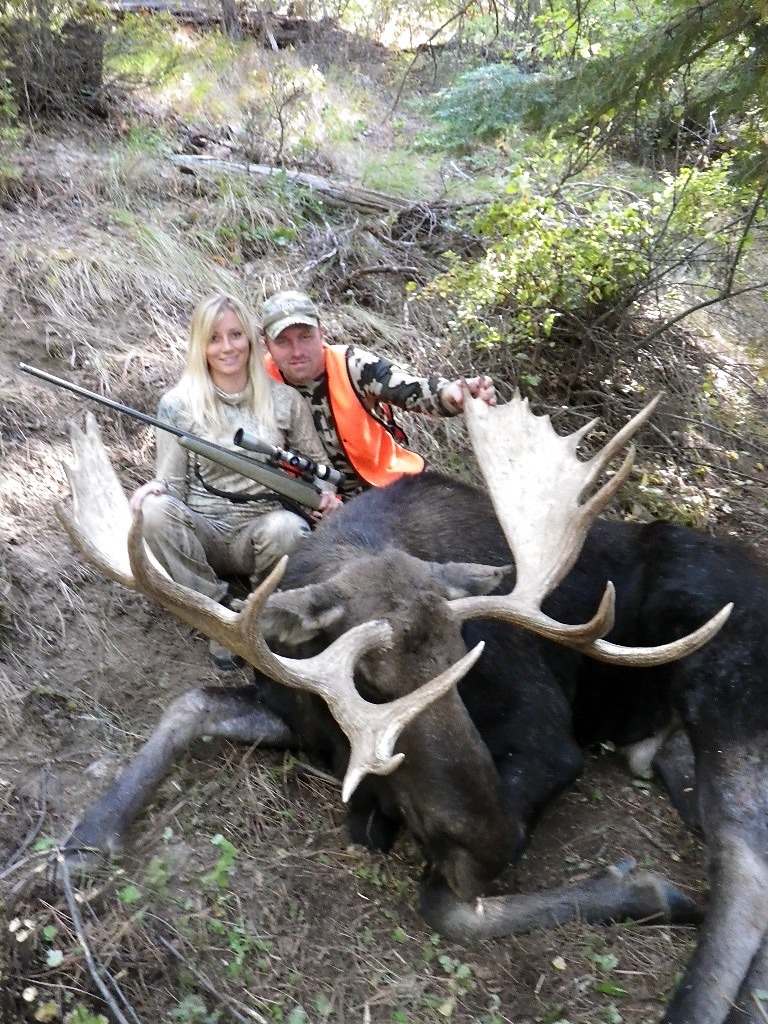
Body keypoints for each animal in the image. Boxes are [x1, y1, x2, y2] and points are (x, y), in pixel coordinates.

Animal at [54, 390, 768, 1024]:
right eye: (368, 681)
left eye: (466, 653)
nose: (493, 843)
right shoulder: (299, 714)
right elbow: (190, 704)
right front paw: (83, 839)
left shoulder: (548, 743)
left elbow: (443, 902)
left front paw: (636, 886)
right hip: (673, 752)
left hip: (727, 703)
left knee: (746, 868)